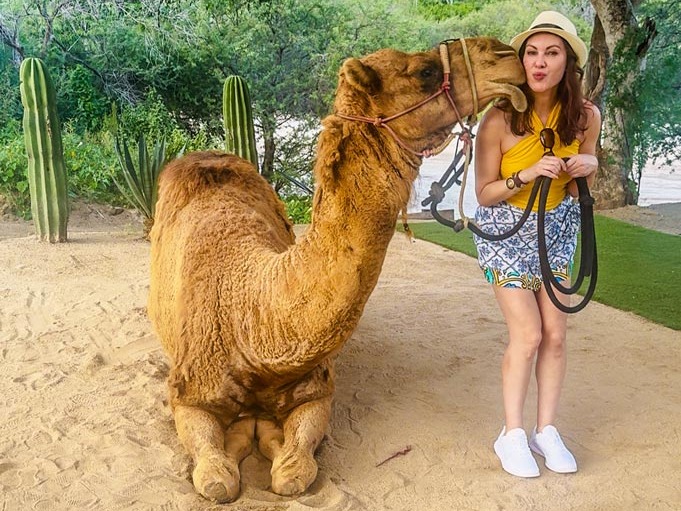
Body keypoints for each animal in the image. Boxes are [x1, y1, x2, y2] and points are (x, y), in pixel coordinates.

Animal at [148, 38, 526, 503]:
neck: (251, 319)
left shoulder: (317, 388)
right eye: (424, 71)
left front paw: (263, 436)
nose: (506, 54)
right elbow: (216, 478)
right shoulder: (189, 393)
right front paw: (238, 440)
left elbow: (294, 471)